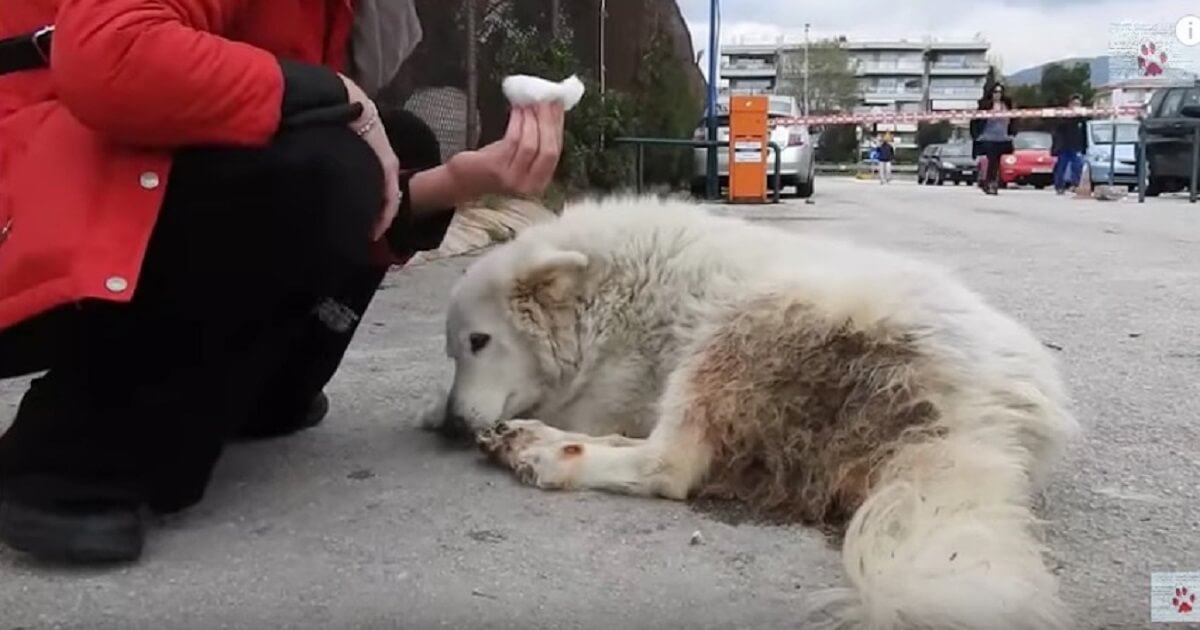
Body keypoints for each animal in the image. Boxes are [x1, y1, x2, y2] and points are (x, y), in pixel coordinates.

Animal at [436, 194, 1084, 624]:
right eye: (454, 350)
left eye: (478, 342)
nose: (448, 428)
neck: (607, 295)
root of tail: (984, 425)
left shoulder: (605, 395)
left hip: (738, 326)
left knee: (667, 467)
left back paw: (536, 449)